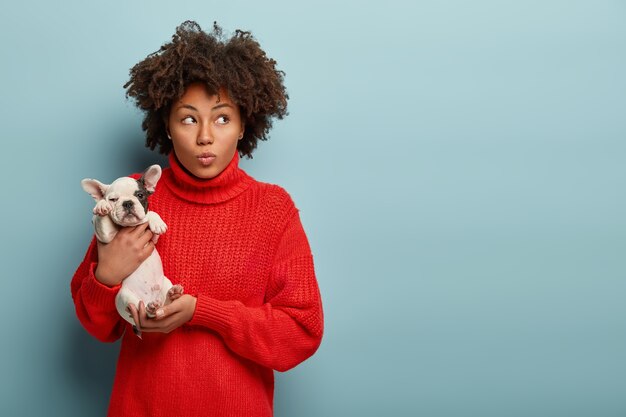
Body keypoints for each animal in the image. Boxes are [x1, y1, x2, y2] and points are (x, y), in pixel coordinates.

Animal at [81, 164, 182, 336]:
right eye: (113, 199)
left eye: (140, 195)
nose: (127, 203)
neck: (129, 226)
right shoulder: (105, 235)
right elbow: (101, 219)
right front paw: (101, 206)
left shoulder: (152, 238)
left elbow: (149, 214)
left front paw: (157, 222)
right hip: (123, 297)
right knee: (146, 314)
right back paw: (151, 309)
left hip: (165, 283)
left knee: (164, 307)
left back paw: (172, 294)